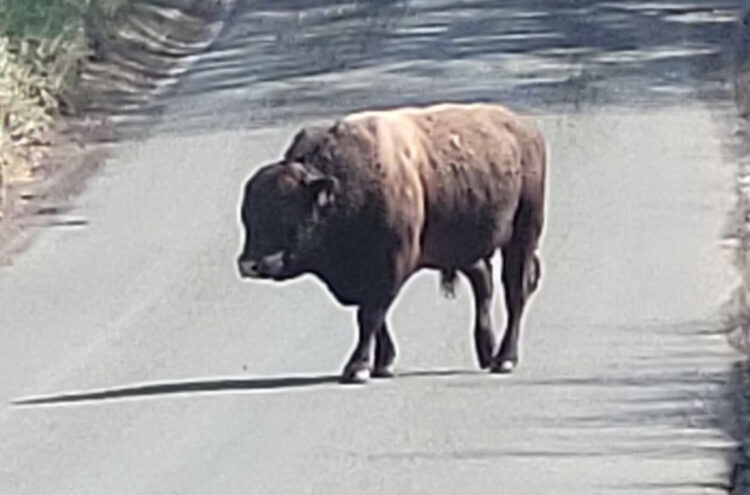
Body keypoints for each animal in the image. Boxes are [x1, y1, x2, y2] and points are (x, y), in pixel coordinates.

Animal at [237, 102, 546, 384]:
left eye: (287, 214)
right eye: (247, 216)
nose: (249, 265)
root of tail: (526, 129)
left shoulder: (390, 266)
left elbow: (370, 316)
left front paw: (358, 368)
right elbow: (375, 317)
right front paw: (383, 364)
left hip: (522, 237)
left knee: (515, 292)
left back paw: (504, 359)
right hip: (465, 246)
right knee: (484, 281)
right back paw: (487, 352)